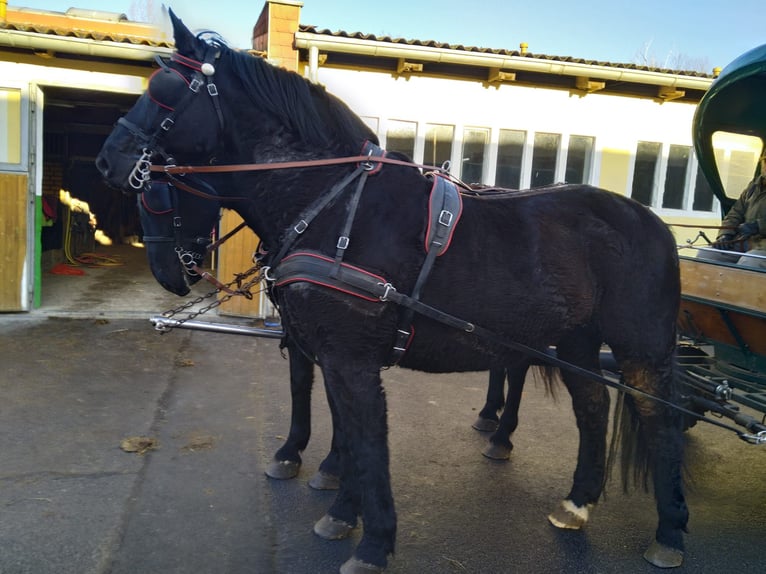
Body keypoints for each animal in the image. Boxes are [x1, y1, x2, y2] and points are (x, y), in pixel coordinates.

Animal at [96, 11, 688, 572]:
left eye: (164, 90)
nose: (107, 160)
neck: (334, 204)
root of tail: (652, 222)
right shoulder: (328, 352)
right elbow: (344, 429)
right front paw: (340, 508)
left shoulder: (351, 358)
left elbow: (366, 439)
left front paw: (374, 541)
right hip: (576, 341)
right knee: (593, 406)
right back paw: (577, 503)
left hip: (639, 349)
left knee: (661, 422)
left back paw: (670, 531)